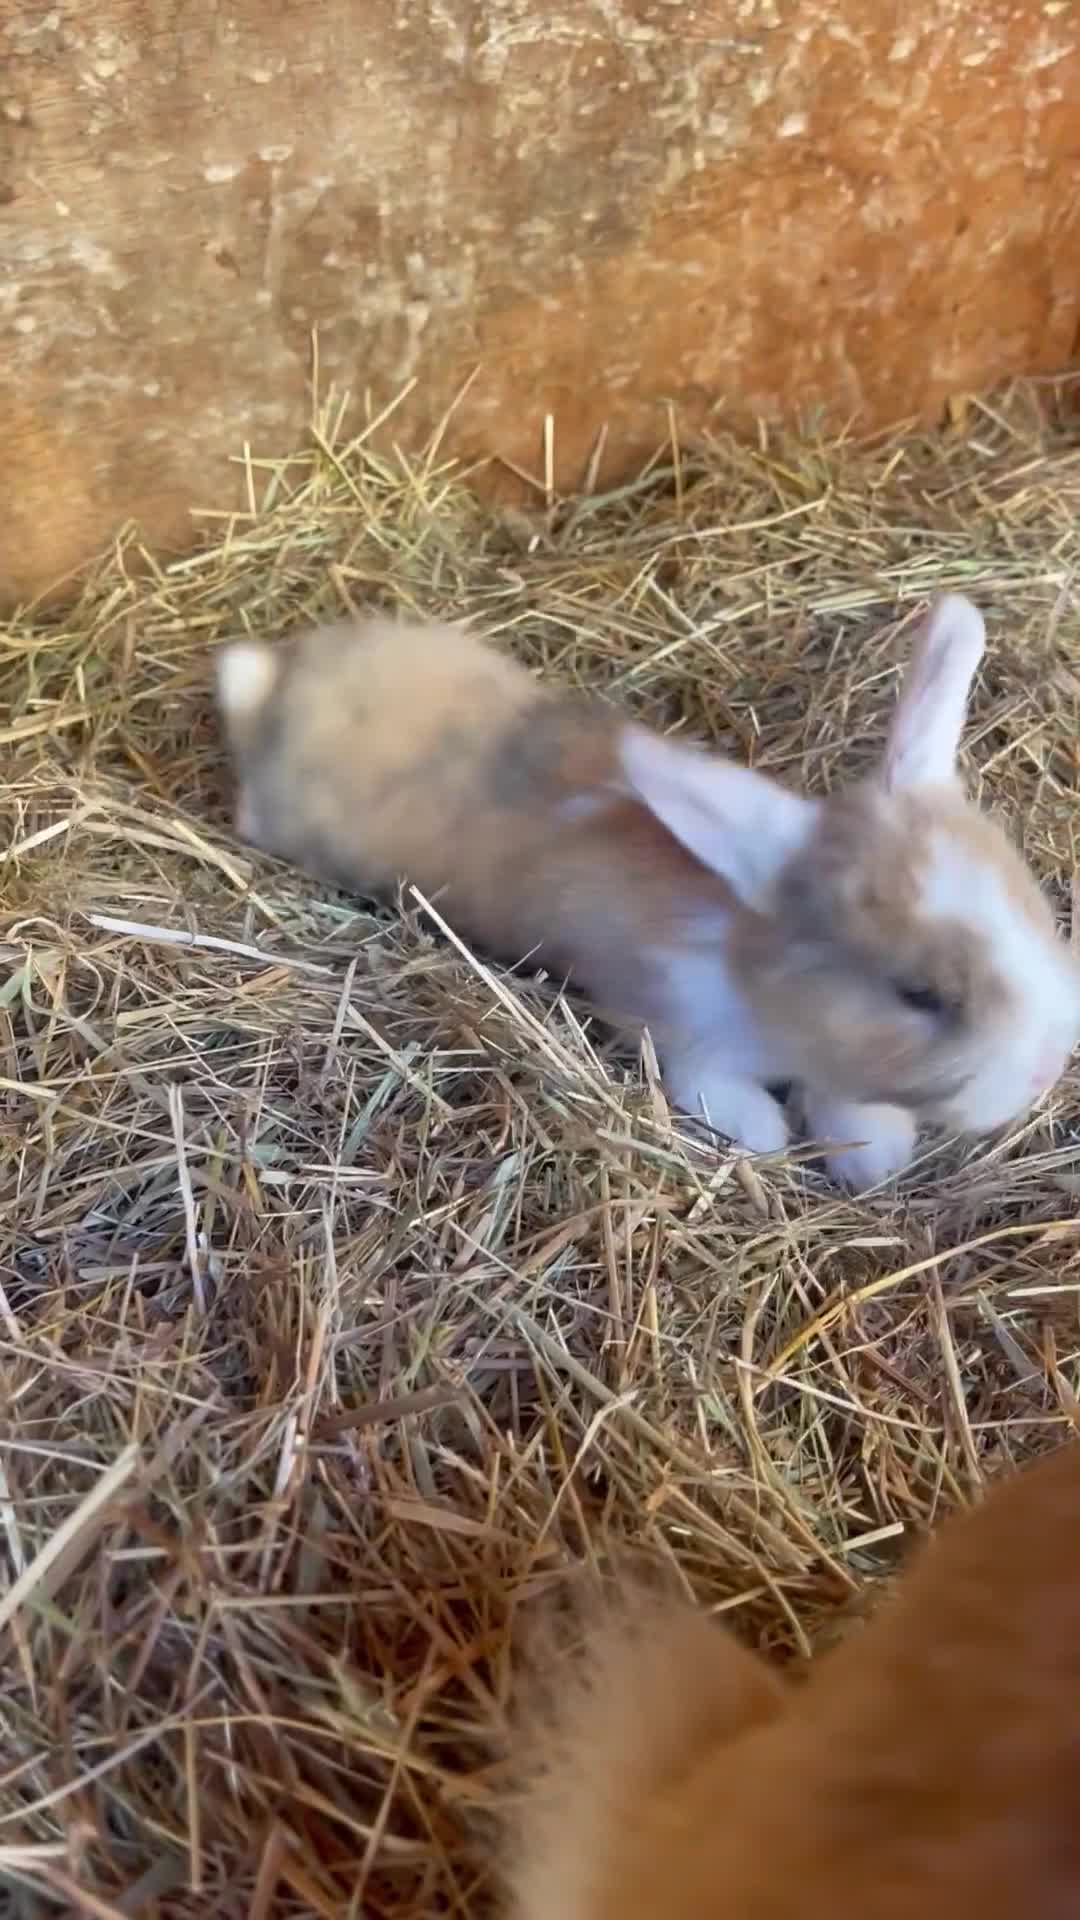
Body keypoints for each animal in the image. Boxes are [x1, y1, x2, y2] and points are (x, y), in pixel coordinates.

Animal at [214, 593, 1079, 1189]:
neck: (751, 965)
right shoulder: (679, 1039)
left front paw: (874, 1152)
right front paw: (771, 1133)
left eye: (1033, 909)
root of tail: (272, 682)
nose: (1046, 1069)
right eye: (918, 994)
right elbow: (731, 1101)